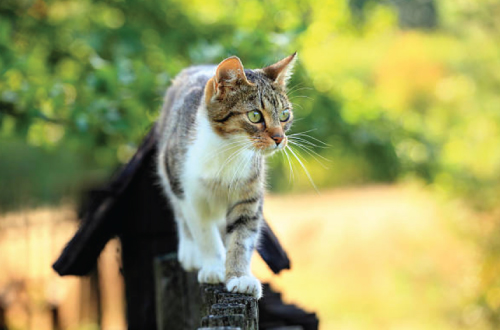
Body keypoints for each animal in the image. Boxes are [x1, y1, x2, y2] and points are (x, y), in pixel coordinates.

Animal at [156, 52, 296, 300]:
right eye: (254, 115)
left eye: (284, 115)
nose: (280, 138)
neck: (228, 152)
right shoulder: (190, 194)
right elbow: (204, 232)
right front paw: (213, 267)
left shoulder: (249, 194)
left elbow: (242, 236)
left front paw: (239, 277)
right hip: (169, 169)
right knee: (180, 213)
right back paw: (190, 252)